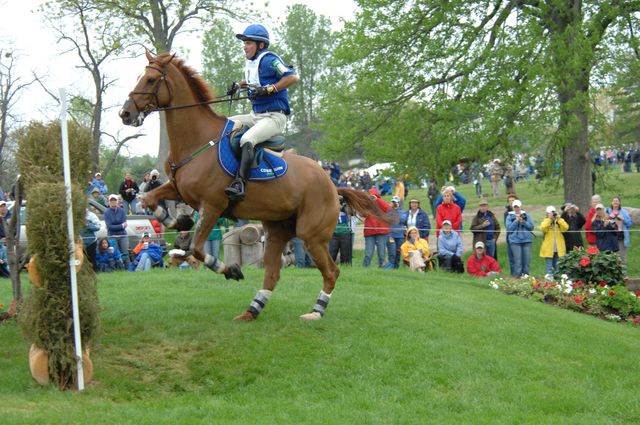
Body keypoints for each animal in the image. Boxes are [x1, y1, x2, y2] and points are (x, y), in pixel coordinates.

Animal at [119, 51, 390, 320]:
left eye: (151, 80)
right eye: (140, 76)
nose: (125, 113)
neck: (195, 141)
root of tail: (333, 186)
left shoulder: (212, 205)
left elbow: (196, 249)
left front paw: (230, 270)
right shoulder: (178, 189)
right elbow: (149, 200)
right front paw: (180, 221)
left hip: (310, 235)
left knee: (331, 272)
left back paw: (316, 311)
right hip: (277, 231)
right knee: (273, 274)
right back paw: (251, 311)